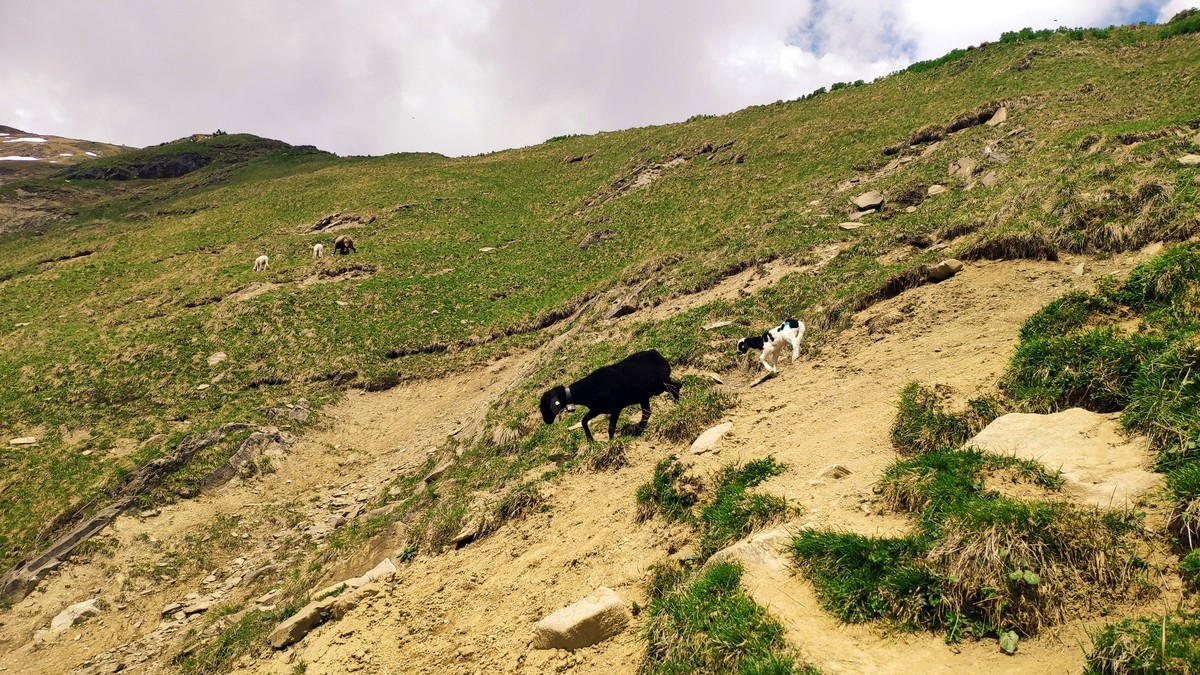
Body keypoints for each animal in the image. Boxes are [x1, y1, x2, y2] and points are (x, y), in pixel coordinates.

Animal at [540, 349, 682, 442]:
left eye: (546, 404)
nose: (547, 421)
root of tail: (657, 354)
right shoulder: (597, 409)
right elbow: (584, 420)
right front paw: (591, 440)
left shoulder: (615, 407)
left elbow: (611, 428)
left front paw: (610, 442)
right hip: (647, 394)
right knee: (648, 412)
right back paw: (638, 431)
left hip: (660, 384)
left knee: (676, 387)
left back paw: (678, 404)